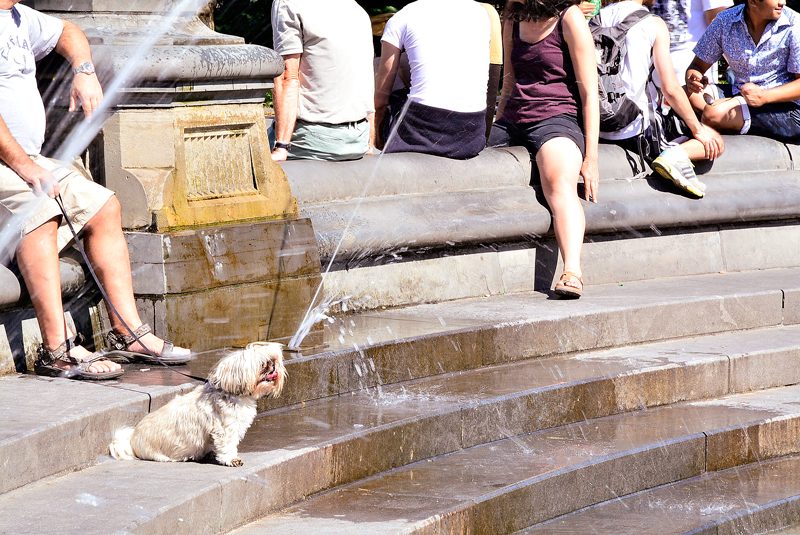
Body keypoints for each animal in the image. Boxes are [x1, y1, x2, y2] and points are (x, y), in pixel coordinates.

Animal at [108, 344, 286, 464]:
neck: (233, 394)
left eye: (273, 361)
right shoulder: (225, 428)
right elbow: (228, 445)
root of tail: (131, 440)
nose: (272, 366)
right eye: (262, 364)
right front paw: (231, 459)